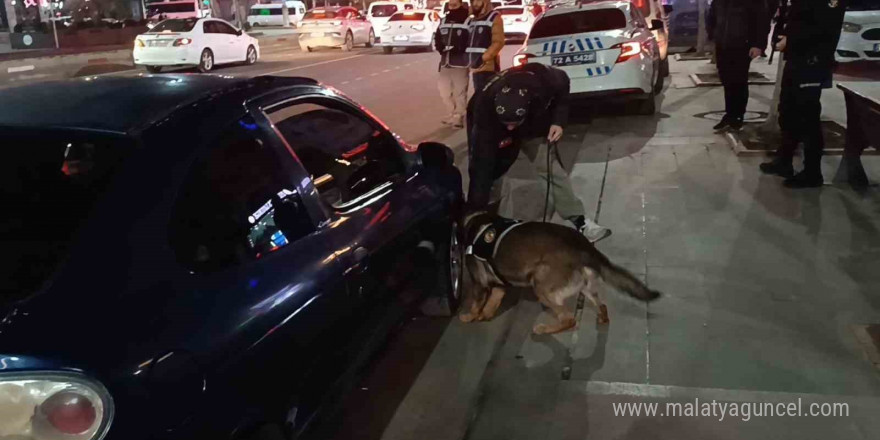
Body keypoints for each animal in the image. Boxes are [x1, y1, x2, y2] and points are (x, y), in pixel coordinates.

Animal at [460, 212, 660, 334]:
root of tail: (585, 248)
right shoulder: (499, 286)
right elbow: (492, 302)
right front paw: (485, 315)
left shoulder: (479, 284)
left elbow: (476, 305)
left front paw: (469, 317)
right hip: (586, 288)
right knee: (602, 306)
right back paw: (602, 319)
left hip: (541, 287)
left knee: (568, 320)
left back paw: (544, 329)